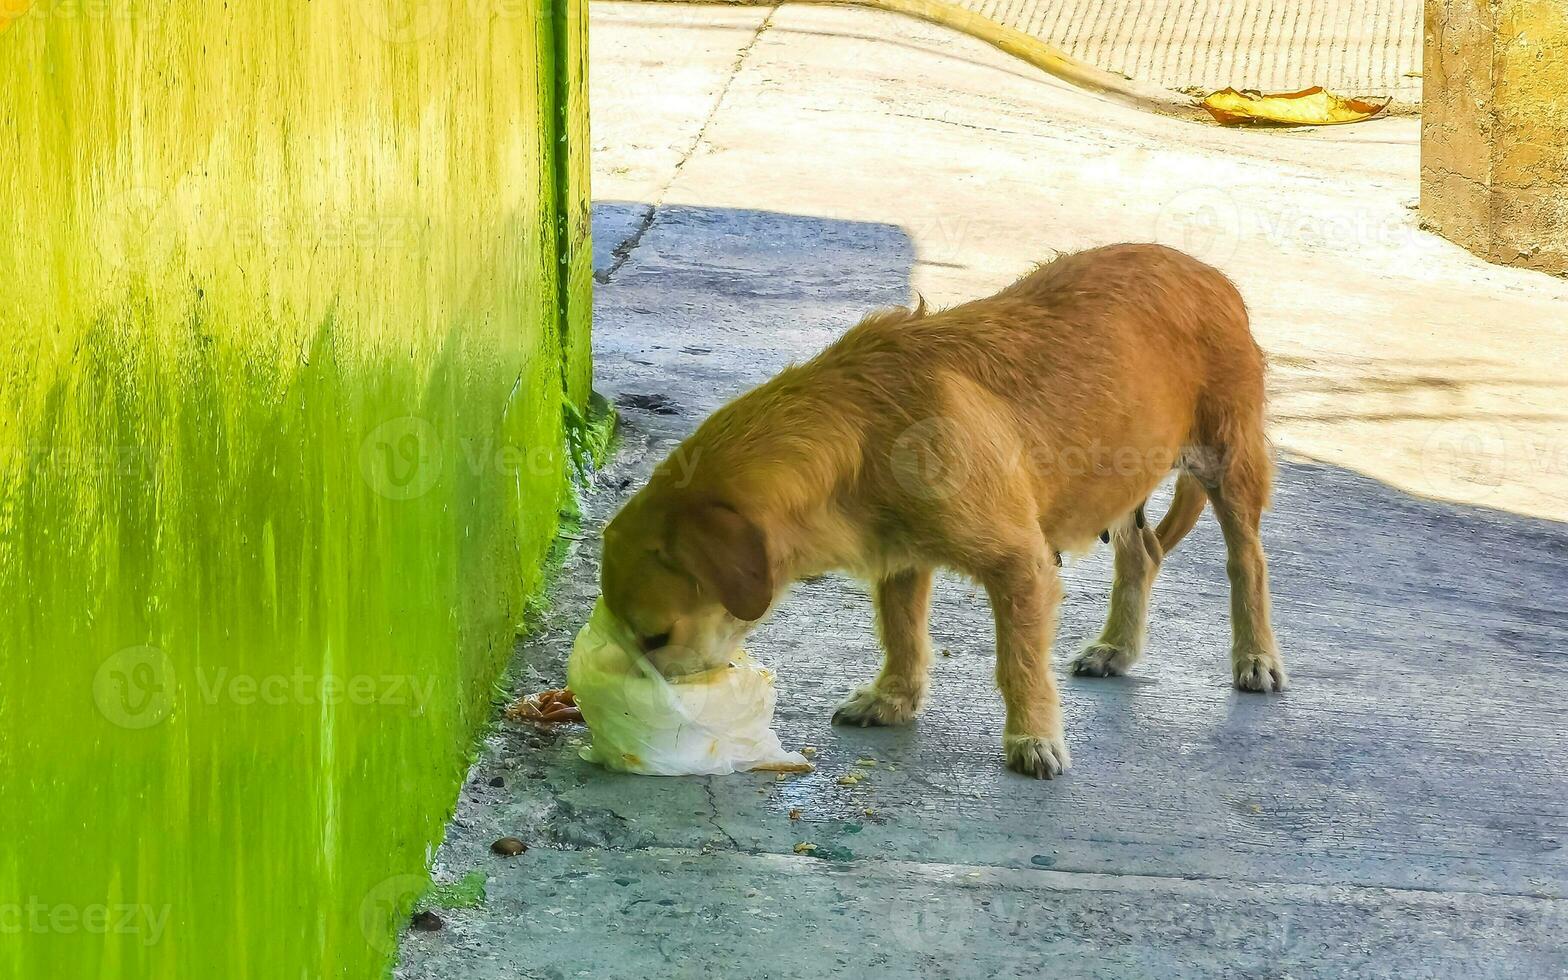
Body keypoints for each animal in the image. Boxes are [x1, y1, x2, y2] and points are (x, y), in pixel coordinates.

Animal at [598, 244, 1285, 780]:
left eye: (656, 636)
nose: (656, 709)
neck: (863, 429)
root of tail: (1208, 271)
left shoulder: (1020, 565)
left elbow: (1018, 664)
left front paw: (1033, 736)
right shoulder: (900, 560)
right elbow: (903, 636)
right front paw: (894, 699)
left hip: (1227, 464)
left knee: (1247, 560)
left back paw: (1255, 657)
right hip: (1113, 484)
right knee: (1140, 555)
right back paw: (1117, 646)